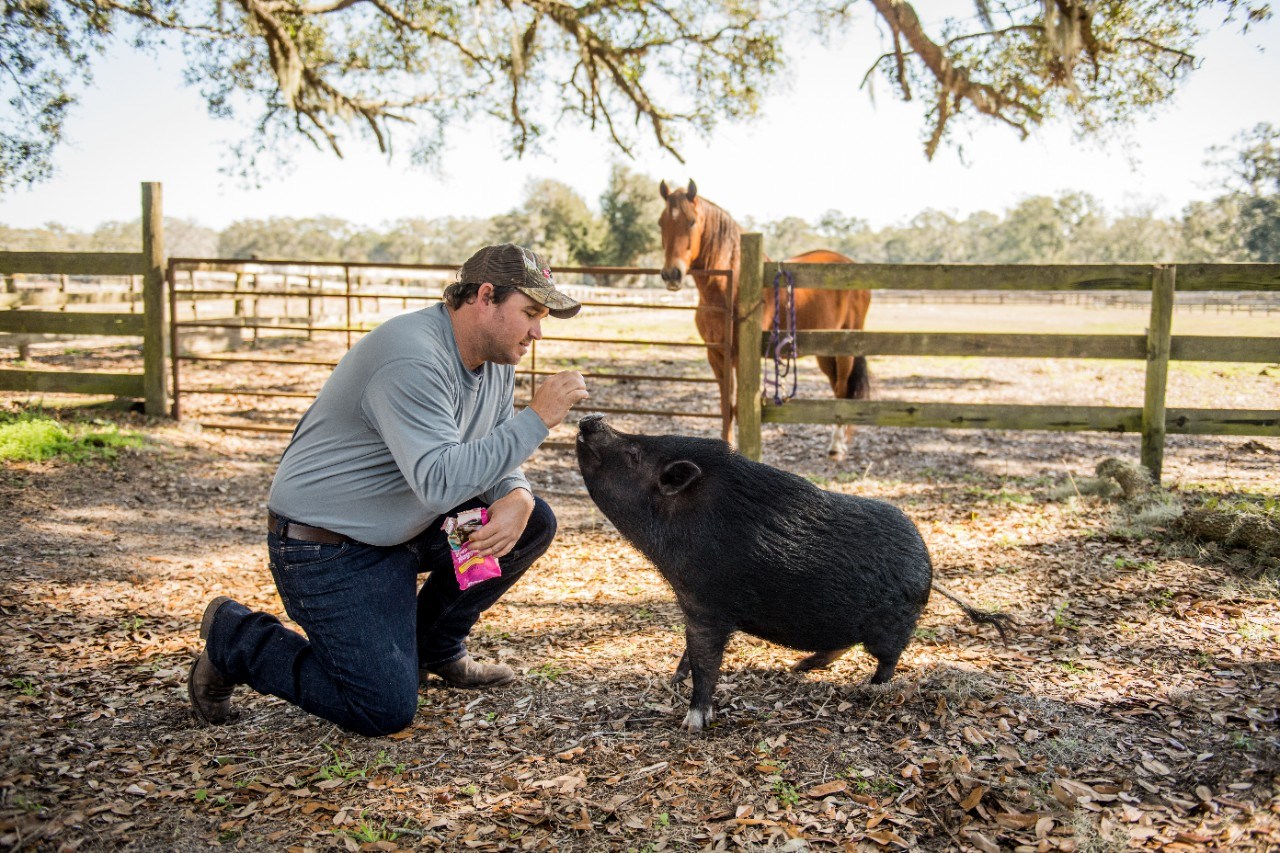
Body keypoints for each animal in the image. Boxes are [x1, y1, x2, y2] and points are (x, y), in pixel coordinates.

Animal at [575, 414, 1012, 733]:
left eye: (633, 451)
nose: (590, 419)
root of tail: (929, 565)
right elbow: (689, 653)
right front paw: (674, 680)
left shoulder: (707, 605)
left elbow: (705, 661)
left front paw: (692, 723)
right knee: (840, 644)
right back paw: (799, 668)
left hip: (893, 625)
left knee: (887, 659)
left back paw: (869, 688)